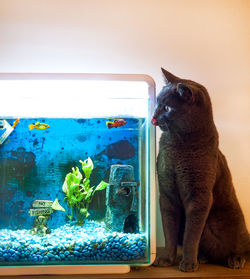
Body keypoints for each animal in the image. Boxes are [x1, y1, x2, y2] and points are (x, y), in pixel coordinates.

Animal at [151, 69, 249, 272]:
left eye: (167, 108)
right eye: (156, 102)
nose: (153, 117)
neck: (177, 143)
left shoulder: (199, 195)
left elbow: (191, 234)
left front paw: (188, 262)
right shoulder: (166, 193)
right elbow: (169, 230)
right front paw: (166, 259)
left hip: (231, 225)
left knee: (242, 247)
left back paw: (235, 259)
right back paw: (203, 257)